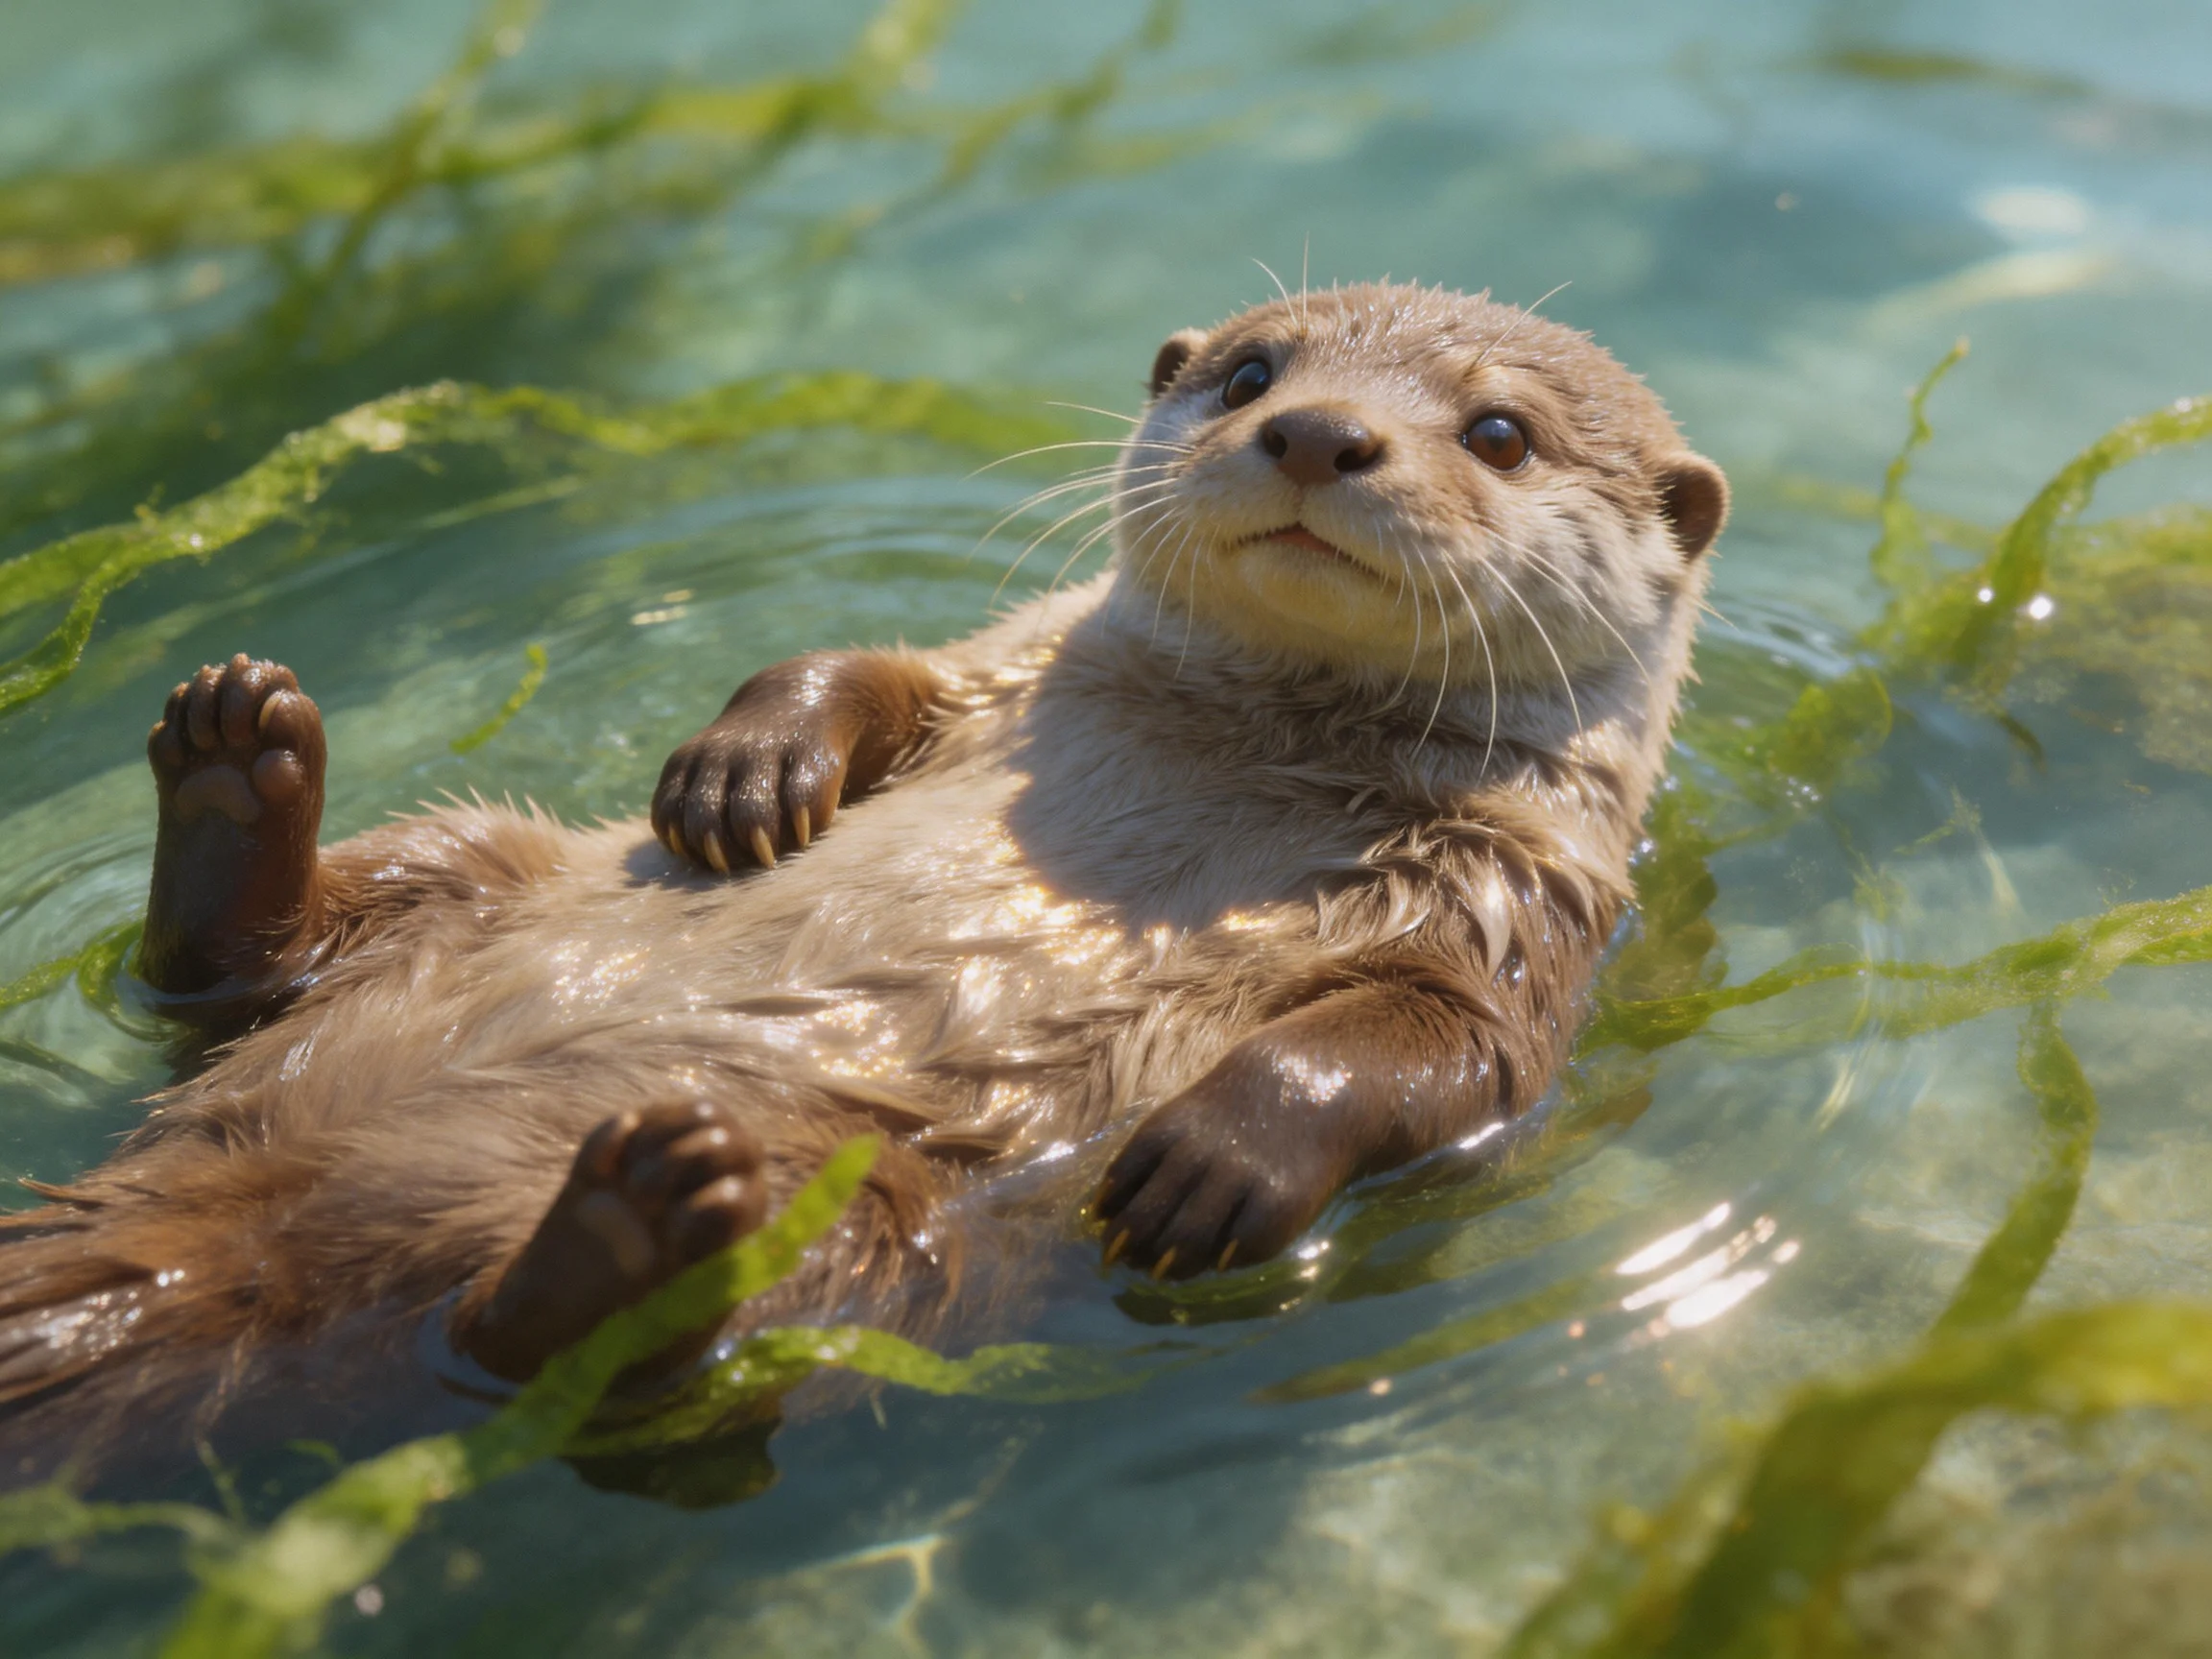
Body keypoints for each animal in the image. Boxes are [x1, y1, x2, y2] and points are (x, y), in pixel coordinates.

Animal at [0, 283, 1724, 1466]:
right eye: (1253, 372)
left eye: (1497, 432)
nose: (1314, 432)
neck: (1243, 754)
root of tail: (239, 1225)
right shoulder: (1006, 666)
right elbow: (867, 669)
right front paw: (747, 769)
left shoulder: (1512, 902)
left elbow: (1434, 1044)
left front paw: (1214, 1159)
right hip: (481, 862)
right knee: (235, 972)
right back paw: (237, 762)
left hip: (872, 1227)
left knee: (547, 1358)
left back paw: (634, 1228)